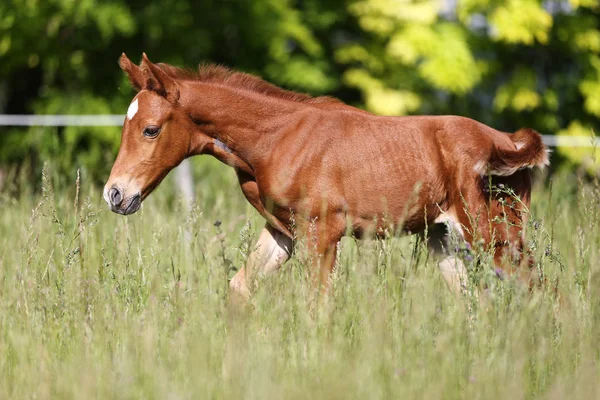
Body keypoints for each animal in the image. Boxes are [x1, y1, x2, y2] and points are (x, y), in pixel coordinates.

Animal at [104, 54, 548, 302]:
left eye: (150, 129)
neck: (277, 138)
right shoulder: (283, 231)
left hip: (493, 235)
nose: (115, 194)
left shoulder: (322, 233)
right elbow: (240, 289)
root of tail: (505, 140)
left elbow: (318, 306)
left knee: (540, 289)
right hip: (443, 238)